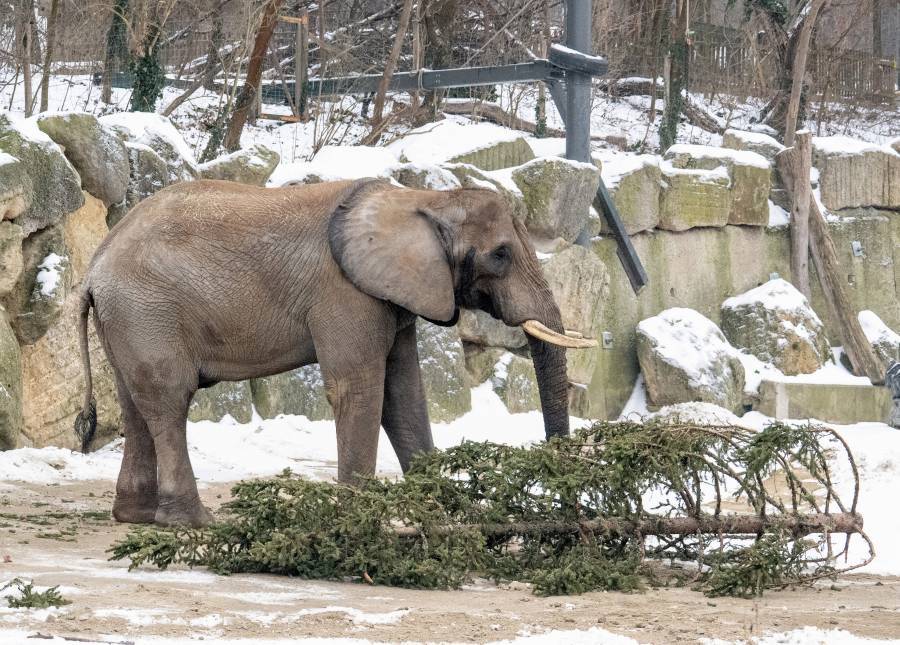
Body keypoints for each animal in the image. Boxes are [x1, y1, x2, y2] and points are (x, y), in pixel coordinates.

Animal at [74, 178, 595, 527]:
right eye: (501, 255)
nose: (568, 508)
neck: (422, 198)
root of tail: (95, 265)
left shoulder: (394, 293)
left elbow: (404, 395)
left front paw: (445, 510)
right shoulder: (345, 292)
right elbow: (358, 389)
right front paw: (361, 520)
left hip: (129, 318)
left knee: (135, 401)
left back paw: (135, 516)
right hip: (146, 311)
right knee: (169, 400)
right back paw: (193, 522)